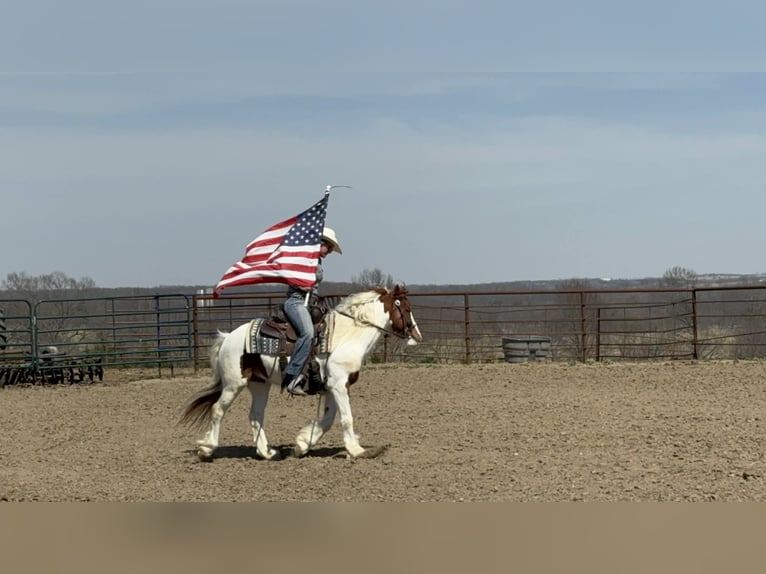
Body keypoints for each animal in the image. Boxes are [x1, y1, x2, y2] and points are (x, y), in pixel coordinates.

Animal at [180, 285, 422, 461]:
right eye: (406, 308)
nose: (416, 334)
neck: (346, 336)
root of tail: (228, 337)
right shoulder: (338, 384)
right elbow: (346, 418)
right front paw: (357, 450)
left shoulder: (331, 387)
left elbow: (328, 419)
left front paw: (303, 444)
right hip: (233, 383)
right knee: (218, 410)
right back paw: (207, 449)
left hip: (259, 384)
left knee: (255, 415)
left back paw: (267, 453)